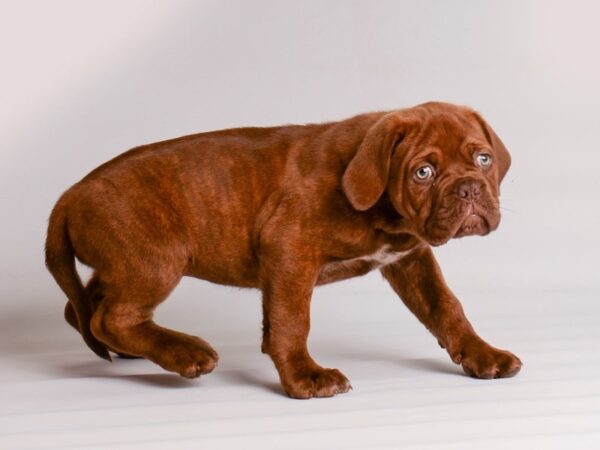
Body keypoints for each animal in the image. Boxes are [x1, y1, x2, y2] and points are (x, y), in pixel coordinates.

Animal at [45, 101, 520, 398]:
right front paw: (305, 376)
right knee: (111, 317)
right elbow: (292, 321)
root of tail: (70, 194)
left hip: (122, 265)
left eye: (482, 160)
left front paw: (482, 355)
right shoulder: (290, 249)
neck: (388, 213)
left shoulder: (410, 259)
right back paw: (185, 354)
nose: (468, 190)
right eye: (423, 172)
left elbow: (445, 307)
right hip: (154, 261)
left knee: (82, 310)